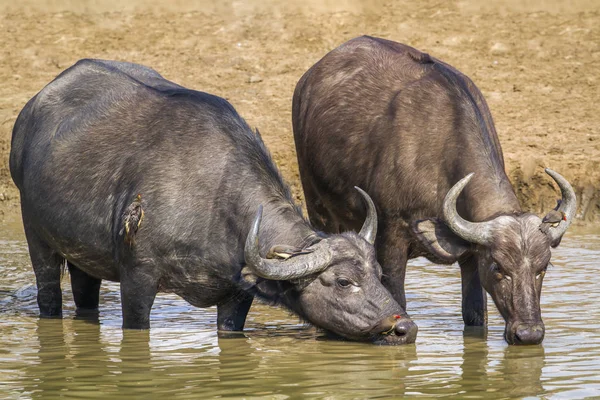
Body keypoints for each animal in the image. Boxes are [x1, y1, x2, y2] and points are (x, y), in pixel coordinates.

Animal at [11, 57, 420, 346]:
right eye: (343, 282)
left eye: (379, 274)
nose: (406, 328)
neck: (215, 203)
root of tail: (29, 114)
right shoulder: (138, 278)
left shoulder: (236, 296)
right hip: (36, 235)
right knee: (49, 296)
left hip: (84, 256)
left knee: (85, 298)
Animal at [292, 36, 580, 346]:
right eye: (498, 268)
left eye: (543, 269)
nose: (528, 334)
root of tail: (308, 78)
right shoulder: (391, 240)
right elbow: (398, 301)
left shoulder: (470, 257)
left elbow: (475, 315)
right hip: (317, 205)